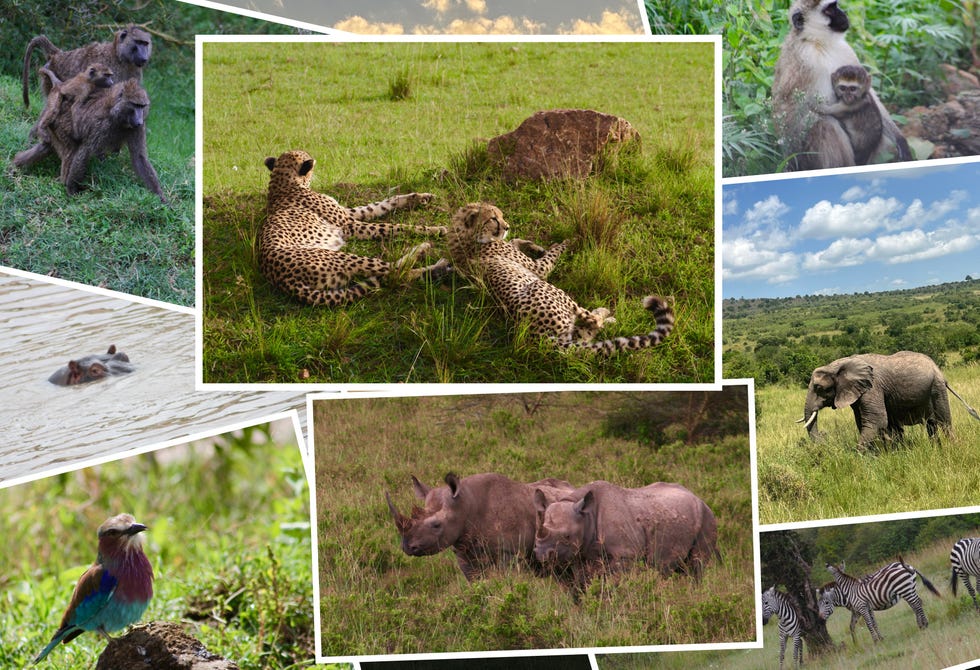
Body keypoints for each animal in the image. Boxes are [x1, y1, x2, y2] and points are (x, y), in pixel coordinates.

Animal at [533, 480, 719, 593]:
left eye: (567, 536)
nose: (541, 554)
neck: (586, 517)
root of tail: (700, 499)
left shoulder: (624, 555)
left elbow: (616, 583)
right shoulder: (580, 555)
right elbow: (582, 585)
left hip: (707, 518)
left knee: (697, 565)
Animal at [799, 351, 980, 448]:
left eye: (819, 388)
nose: (824, 436)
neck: (838, 364)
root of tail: (939, 371)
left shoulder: (873, 388)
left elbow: (876, 420)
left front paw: (859, 457)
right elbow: (864, 422)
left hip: (937, 388)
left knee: (944, 423)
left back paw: (951, 447)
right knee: (931, 425)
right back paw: (935, 448)